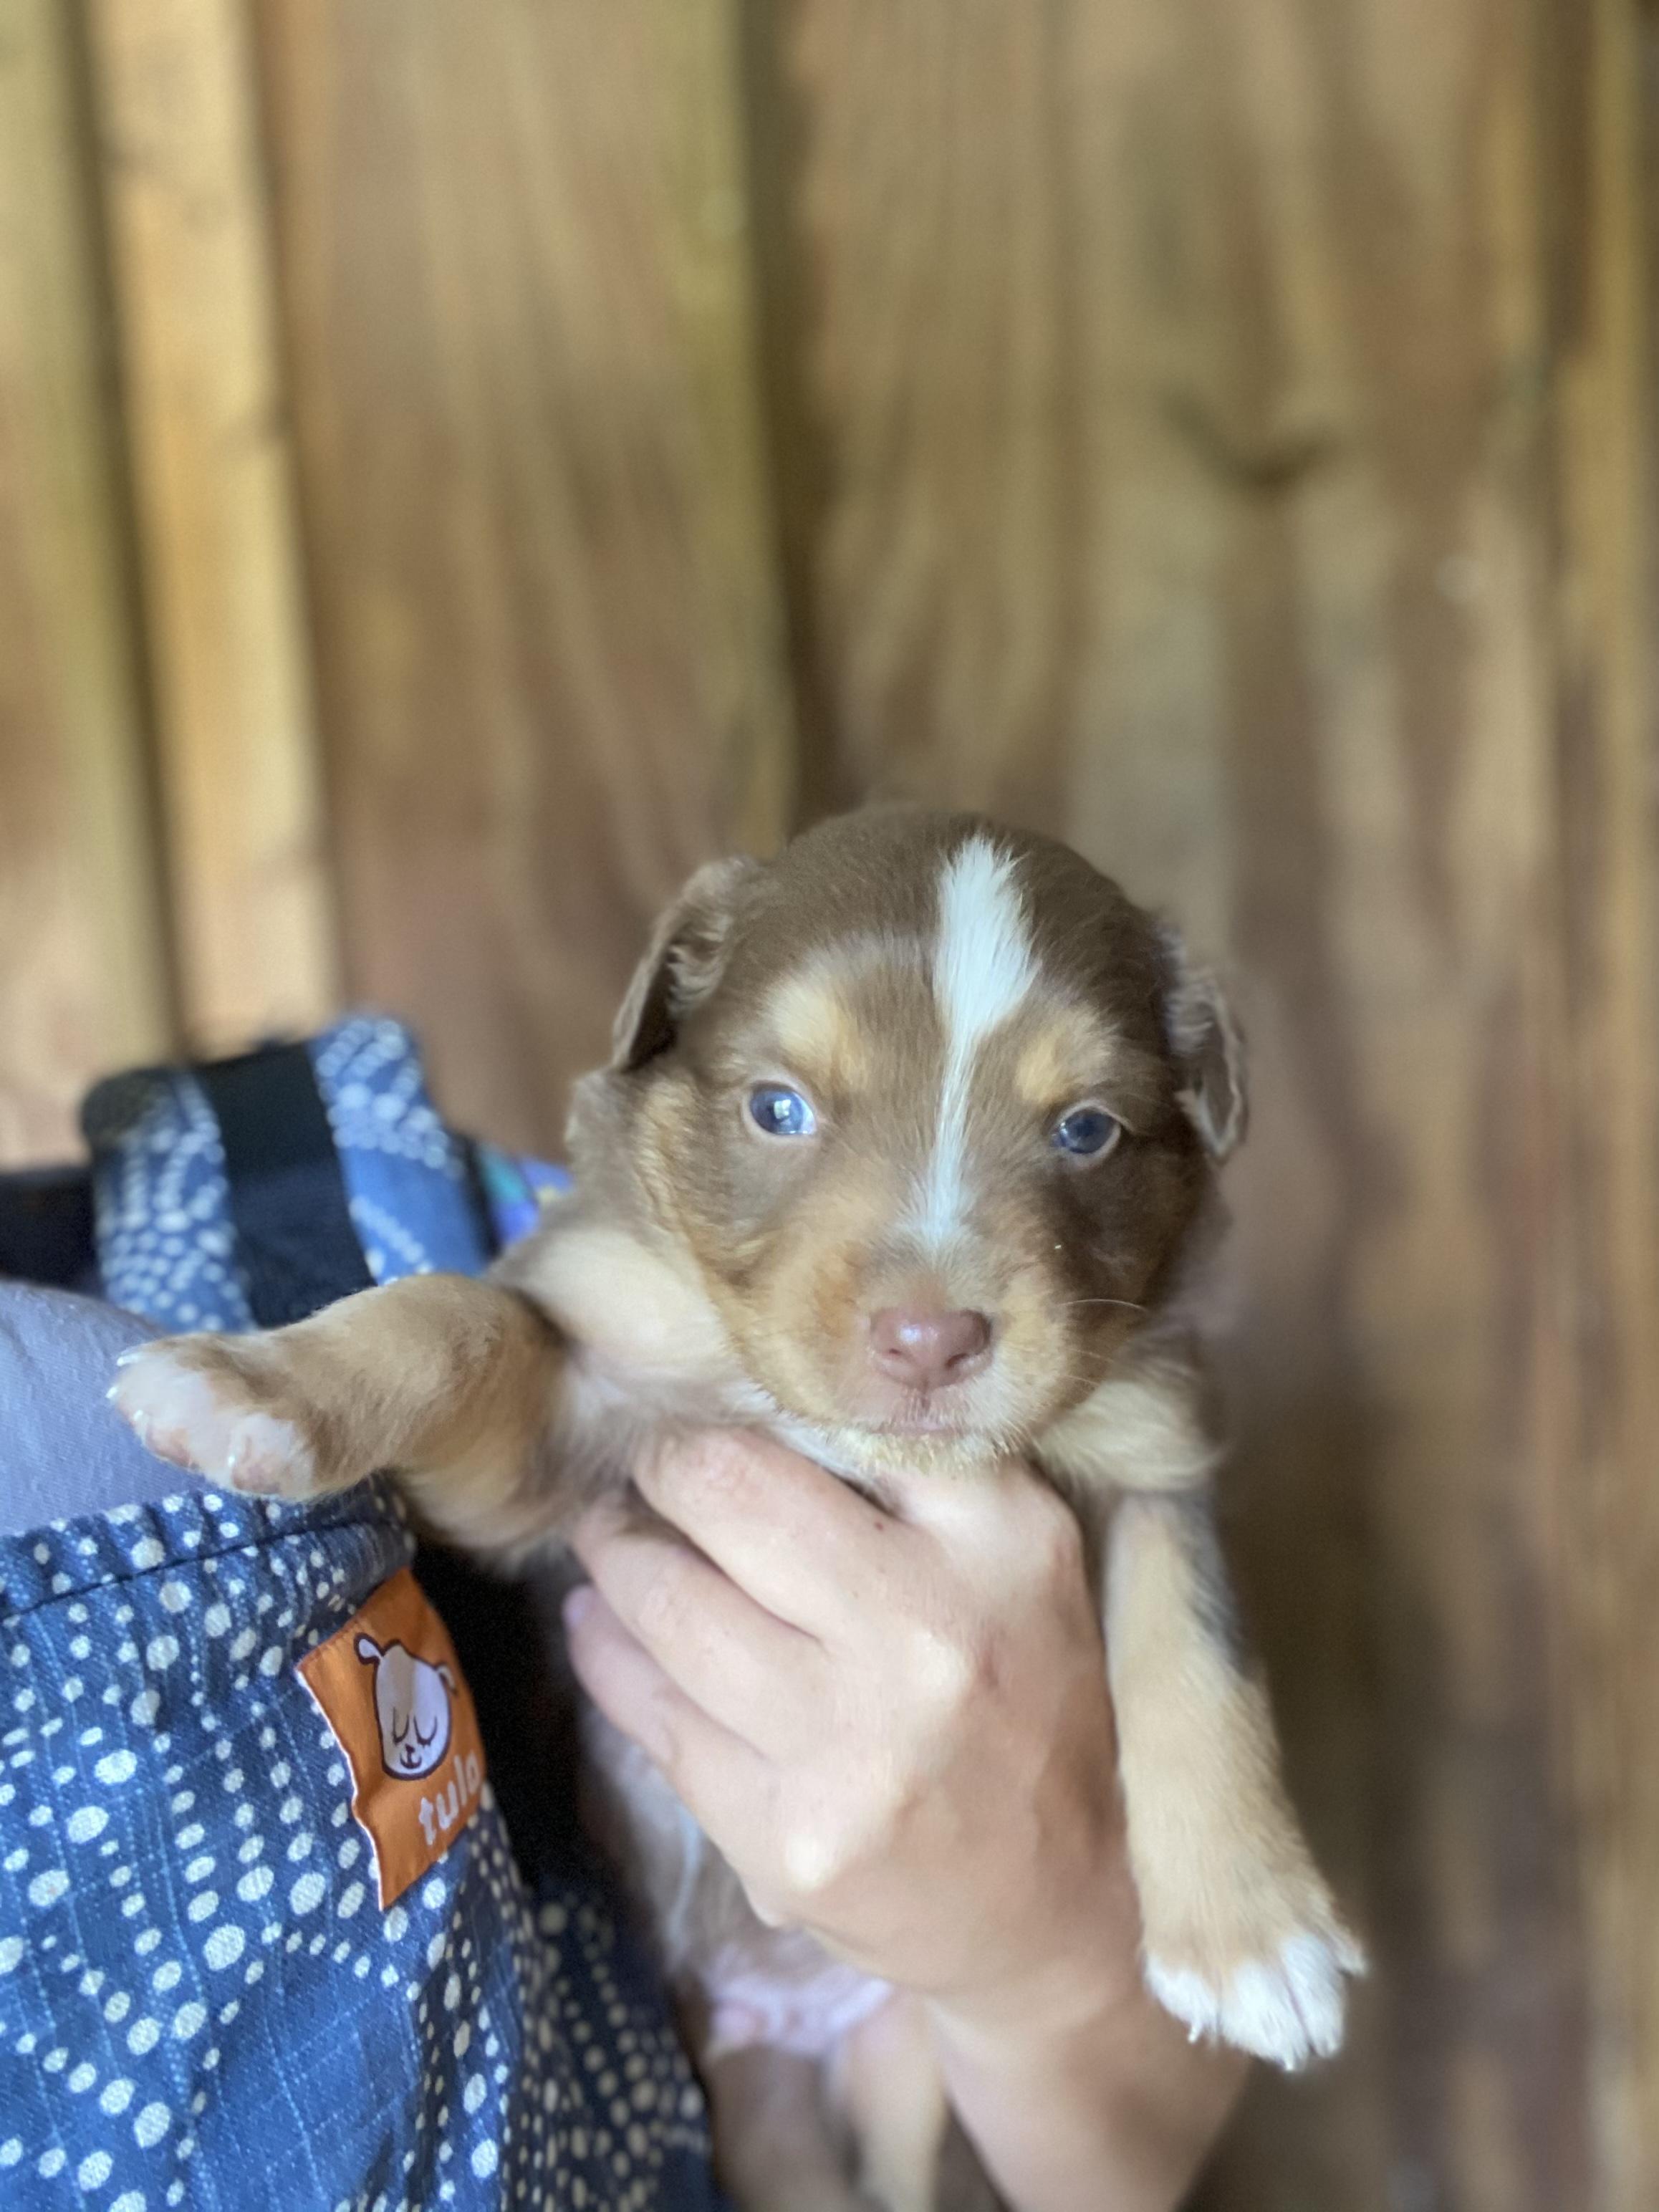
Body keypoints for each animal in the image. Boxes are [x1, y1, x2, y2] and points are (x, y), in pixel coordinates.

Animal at [112, 808, 1363, 2209]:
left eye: (1087, 1132)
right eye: (779, 1108)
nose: (929, 1338)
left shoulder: (1151, 1443)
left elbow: (1196, 1659)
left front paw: (1257, 1938)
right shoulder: (552, 1434)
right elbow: (453, 1315)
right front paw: (250, 1381)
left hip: (902, 2073)